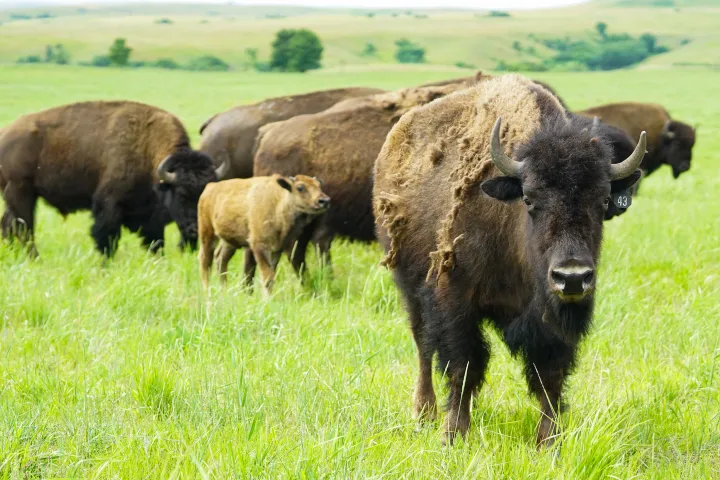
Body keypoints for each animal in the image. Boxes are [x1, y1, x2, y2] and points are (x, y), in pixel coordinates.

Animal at [0, 100, 226, 257]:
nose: (196, 229)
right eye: (181, 194)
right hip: (21, 192)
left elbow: (155, 244)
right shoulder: (109, 206)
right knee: (24, 229)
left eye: (205, 195)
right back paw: (35, 258)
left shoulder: (151, 220)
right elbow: (106, 239)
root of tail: (5, 134)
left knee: (9, 225)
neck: (147, 147)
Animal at [373, 74, 645, 447]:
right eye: (529, 200)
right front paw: (453, 436)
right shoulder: (454, 300)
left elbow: (549, 376)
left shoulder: (551, 319)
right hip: (409, 285)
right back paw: (425, 413)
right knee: (423, 346)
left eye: (603, 200)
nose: (572, 277)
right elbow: (463, 365)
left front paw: (549, 442)